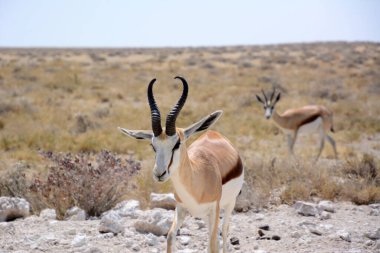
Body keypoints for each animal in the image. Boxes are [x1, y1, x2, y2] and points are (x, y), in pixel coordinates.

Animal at [119, 77, 243, 253]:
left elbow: (213, 244)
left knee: (224, 233)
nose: (159, 173)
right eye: (153, 145)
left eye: (177, 143)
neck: (198, 183)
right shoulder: (181, 209)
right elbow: (170, 236)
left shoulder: (214, 209)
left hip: (229, 205)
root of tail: (212, 133)